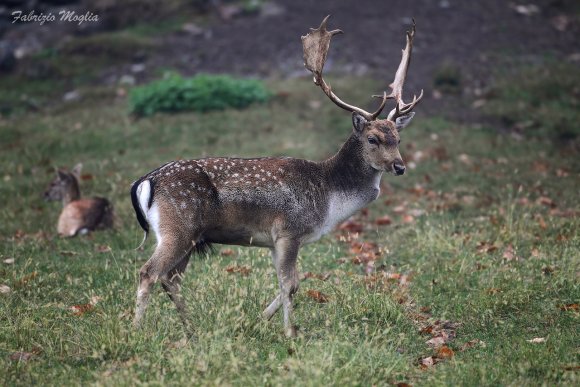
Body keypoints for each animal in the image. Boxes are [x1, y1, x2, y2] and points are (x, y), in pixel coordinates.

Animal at [130, 15, 422, 336]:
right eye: (372, 139)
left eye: (398, 138)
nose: (400, 167)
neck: (329, 196)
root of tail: (145, 181)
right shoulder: (288, 231)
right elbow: (289, 284)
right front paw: (289, 333)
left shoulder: (274, 240)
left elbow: (293, 284)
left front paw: (257, 321)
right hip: (178, 228)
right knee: (148, 272)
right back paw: (137, 331)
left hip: (190, 237)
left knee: (170, 279)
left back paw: (192, 329)